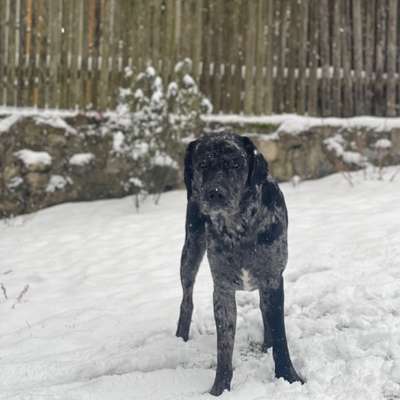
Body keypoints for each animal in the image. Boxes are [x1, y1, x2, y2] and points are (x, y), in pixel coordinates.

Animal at [175, 133, 304, 396]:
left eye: (236, 163)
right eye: (202, 164)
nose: (215, 193)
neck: (239, 228)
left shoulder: (273, 280)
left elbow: (280, 335)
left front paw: (288, 377)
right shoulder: (222, 290)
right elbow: (224, 348)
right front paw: (219, 389)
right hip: (190, 250)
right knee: (187, 299)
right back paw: (180, 337)